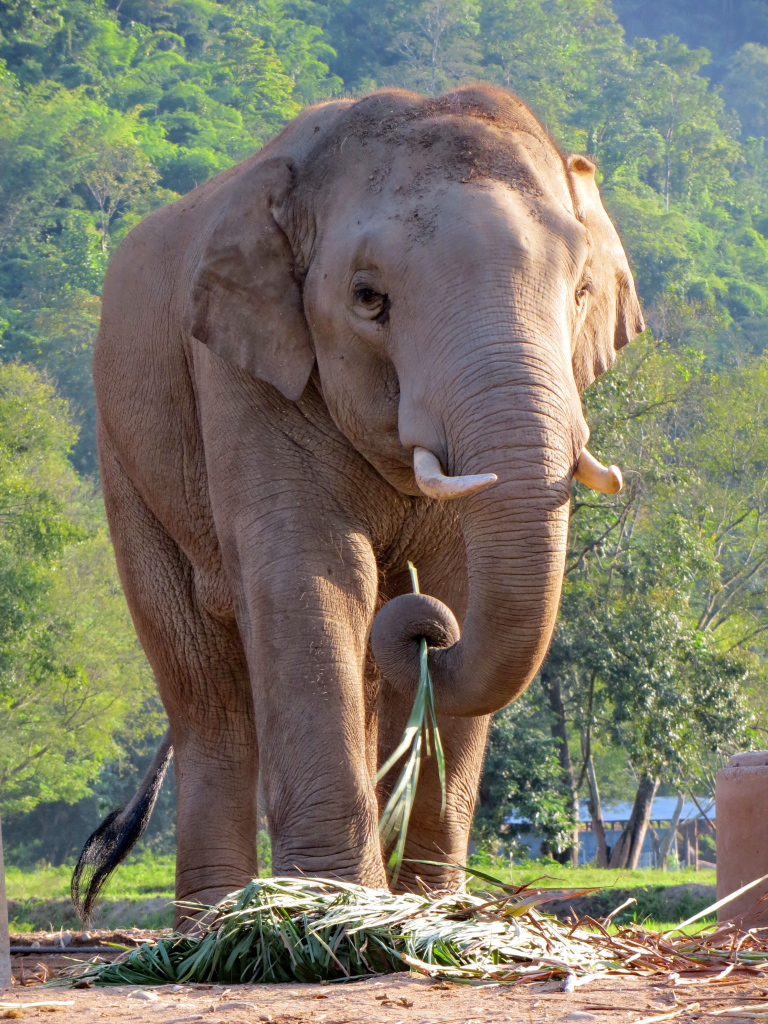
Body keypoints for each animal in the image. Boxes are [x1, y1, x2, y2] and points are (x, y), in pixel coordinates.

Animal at [72, 83, 643, 925]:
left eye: (579, 293)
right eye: (369, 299)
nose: (423, 635)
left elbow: (458, 583)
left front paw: (433, 914)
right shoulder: (241, 373)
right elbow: (311, 572)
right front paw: (331, 910)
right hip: (125, 457)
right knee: (204, 689)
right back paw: (213, 924)